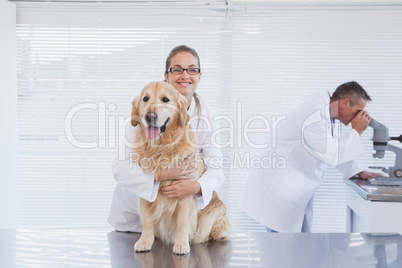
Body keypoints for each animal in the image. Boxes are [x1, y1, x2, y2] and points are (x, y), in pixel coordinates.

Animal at [131, 80, 229, 254]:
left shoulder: (185, 192)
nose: (149, 116)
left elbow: (183, 221)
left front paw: (181, 244)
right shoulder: (145, 191)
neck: (161, 147)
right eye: (145, 99)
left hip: (213, 214)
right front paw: (145, 241)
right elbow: (147, 220)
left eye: (165, 99)